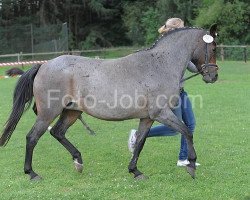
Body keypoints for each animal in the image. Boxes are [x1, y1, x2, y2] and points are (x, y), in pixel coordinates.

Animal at [0, 24, 219, 180]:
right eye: (214, 47)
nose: (213, 76)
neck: (159, 64)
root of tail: (44, 65)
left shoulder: (148, 118)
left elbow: (140, 142)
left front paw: (135, 171)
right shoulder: (162, 113)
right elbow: (187, 131)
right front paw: (191, 165)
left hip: (72, 112)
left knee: (57, 132)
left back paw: (78, 161)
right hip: (48, 113)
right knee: (32, 137)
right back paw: (32, 173)